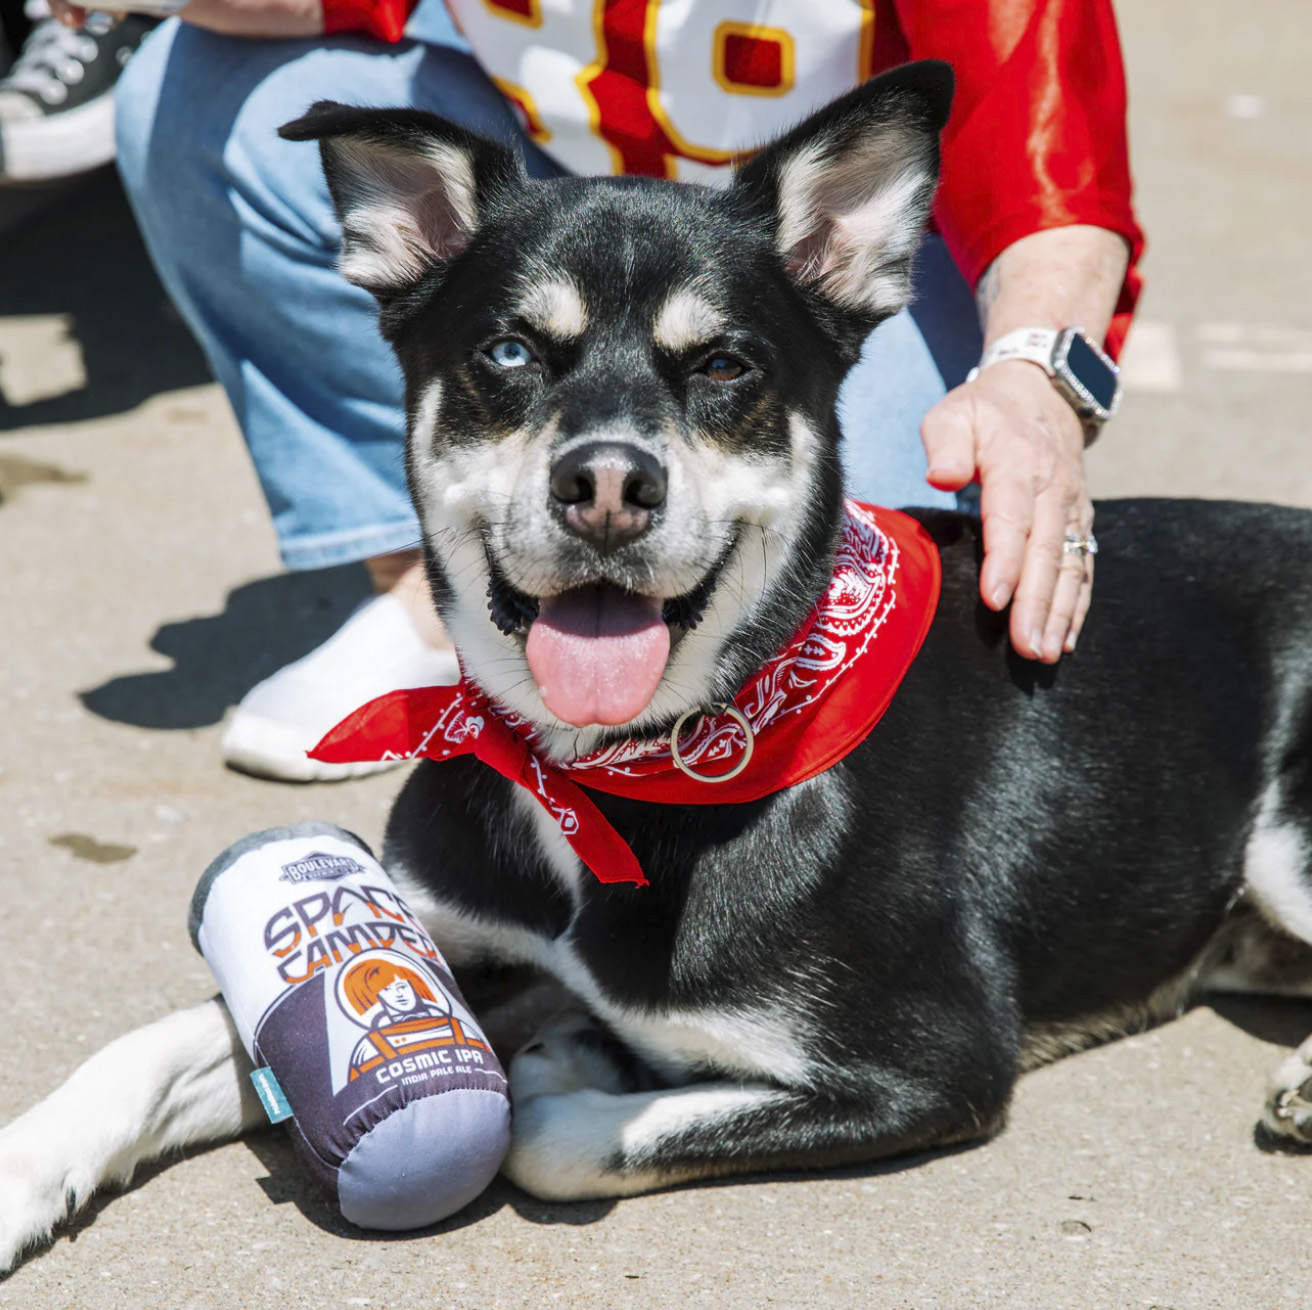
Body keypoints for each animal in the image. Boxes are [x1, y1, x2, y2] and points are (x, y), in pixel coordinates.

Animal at [2, 61, 1312, 1270]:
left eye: (725, 365)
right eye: (508, 350)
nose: (606, 483)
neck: (608, 773)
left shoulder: (928, 1061)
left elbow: (552, 1135)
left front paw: (575, 1058)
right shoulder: (446, 942)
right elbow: (162, 1041)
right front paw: (28, 1165)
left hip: (1280, 842)